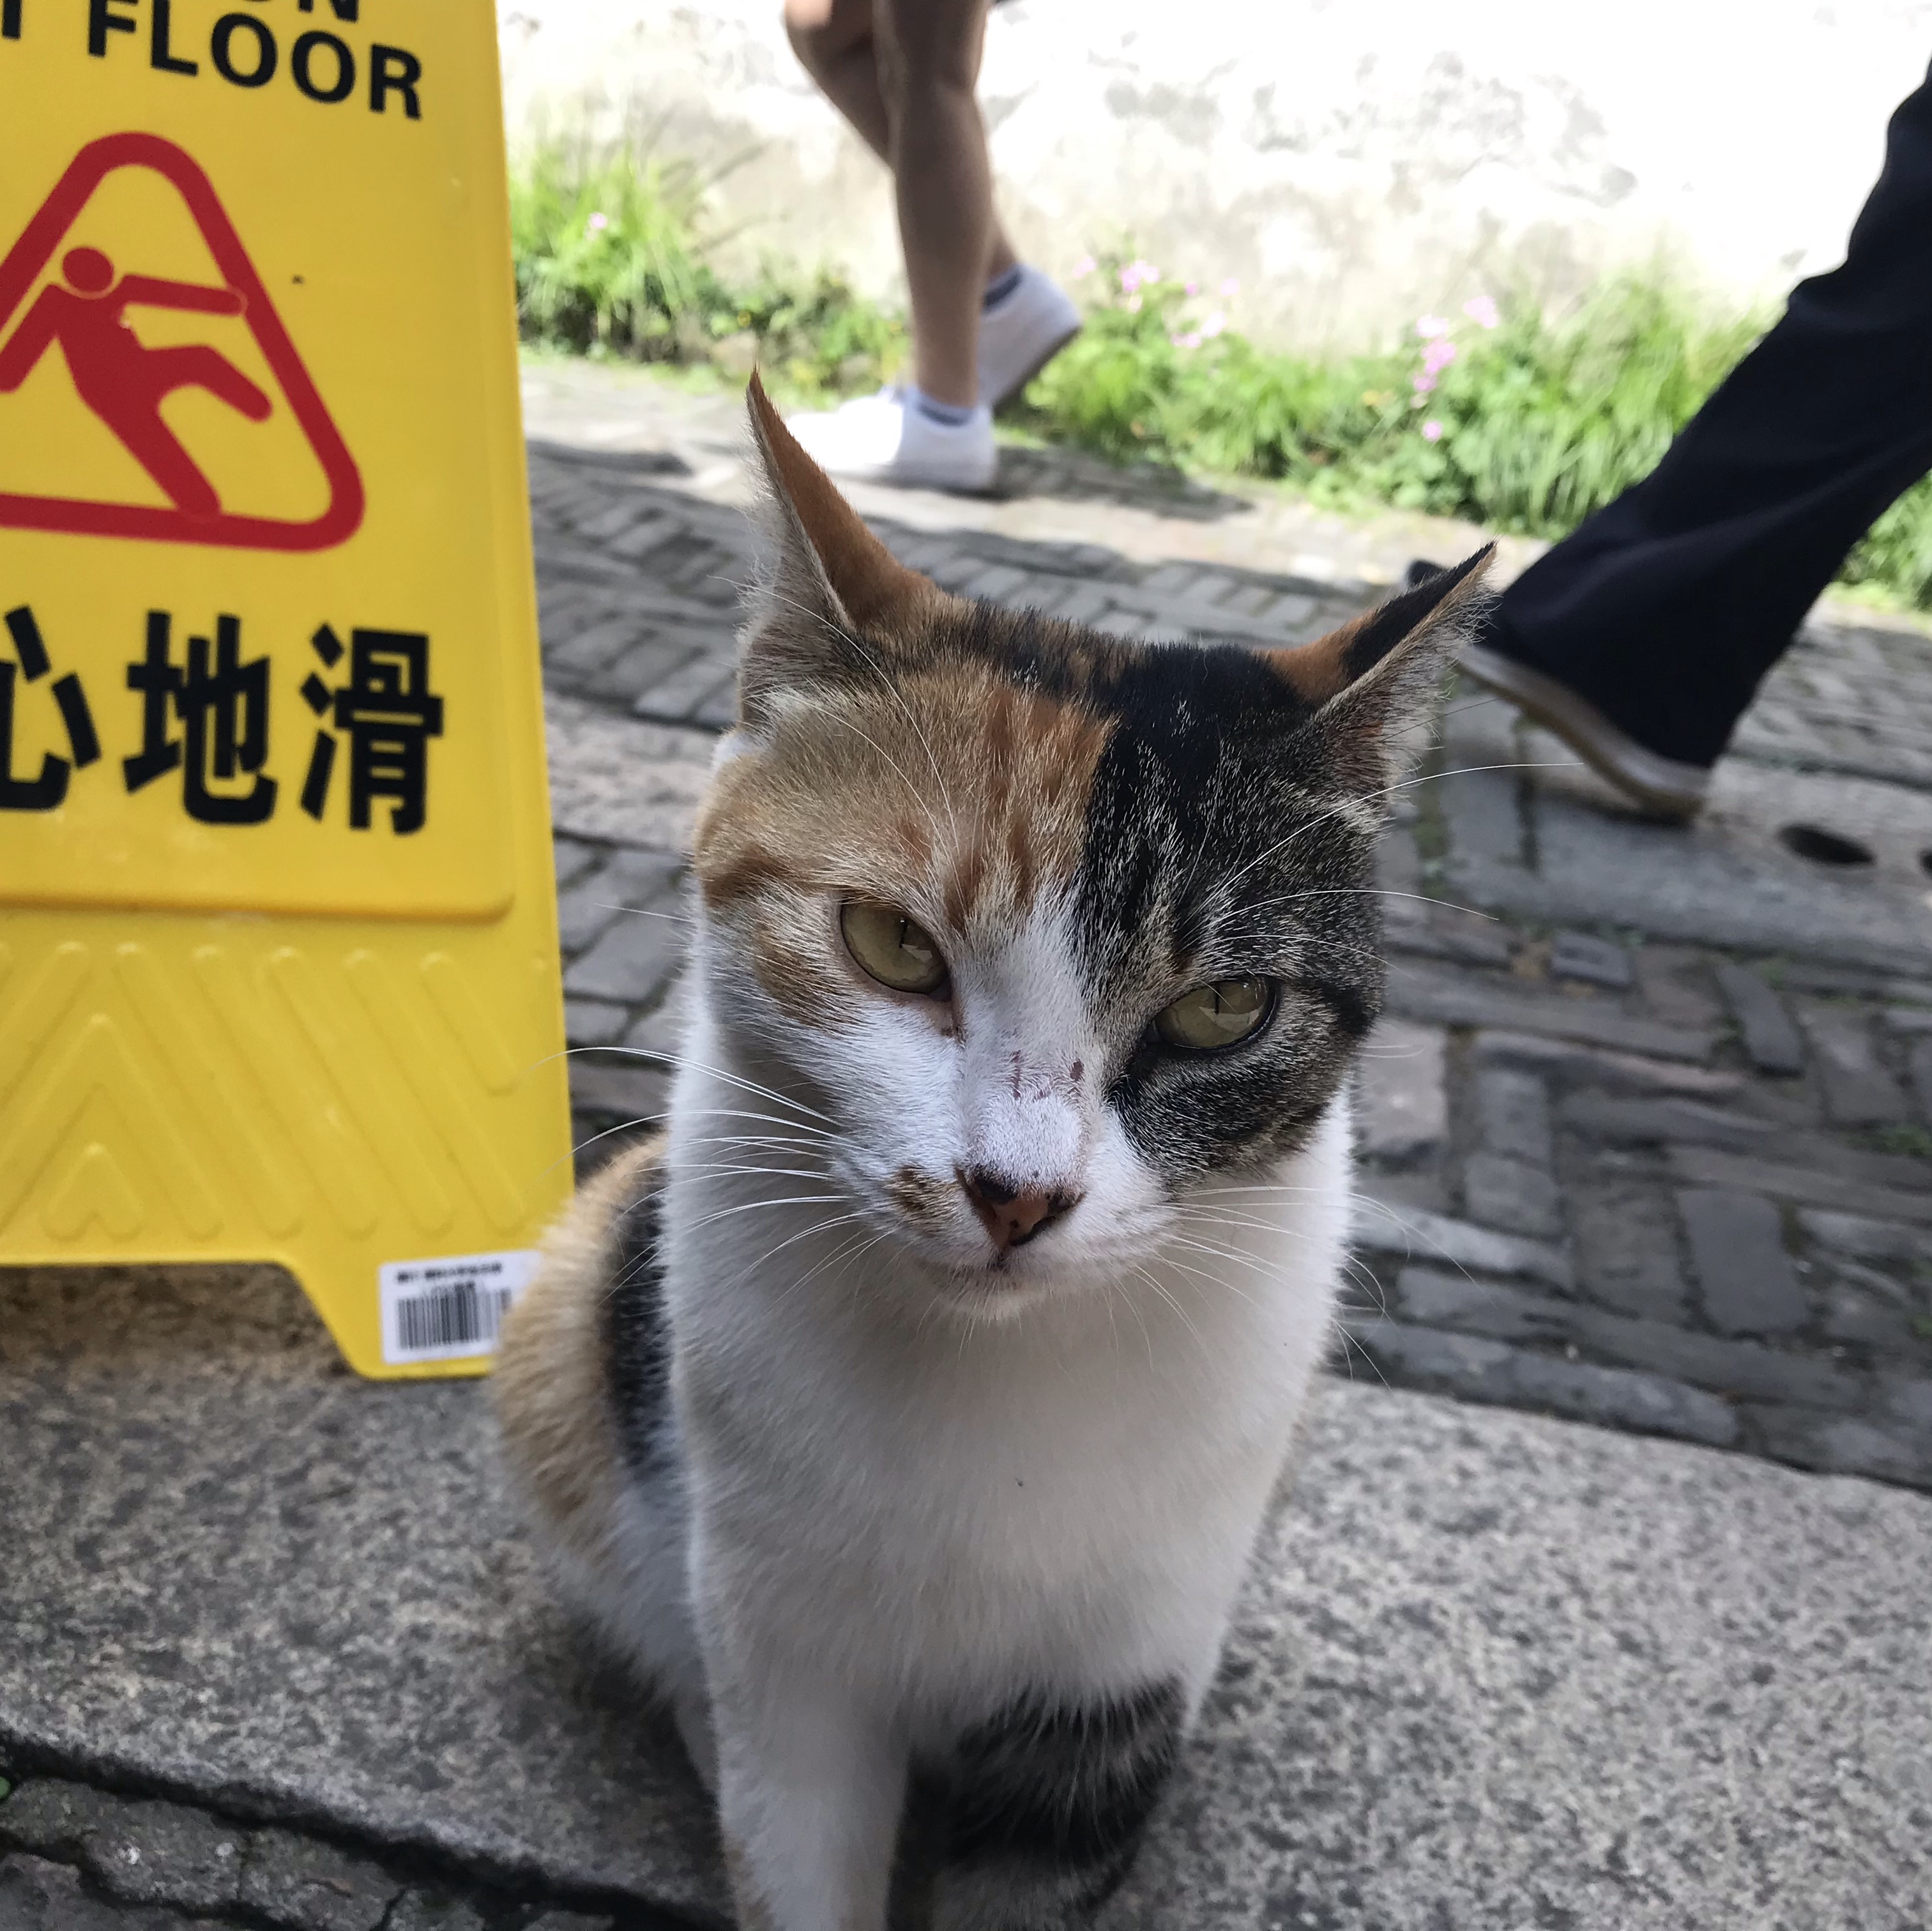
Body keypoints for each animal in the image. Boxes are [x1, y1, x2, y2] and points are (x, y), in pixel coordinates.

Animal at [498, 376, 1491, 1931]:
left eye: (1225, 1008)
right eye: (890, 943)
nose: (1017, 1196)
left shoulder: (1113, 1690)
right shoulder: (791, 1666)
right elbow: (793, 1846)